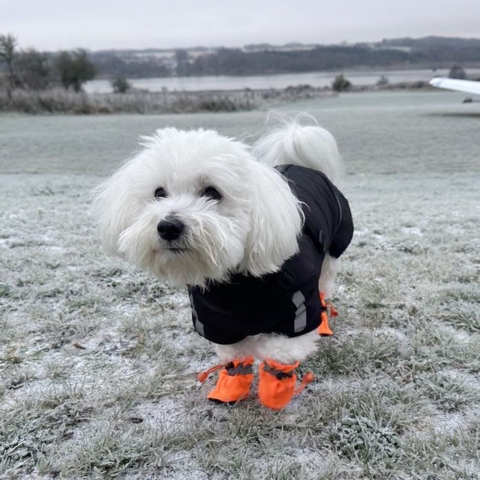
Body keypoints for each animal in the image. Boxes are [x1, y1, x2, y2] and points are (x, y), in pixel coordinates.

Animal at [94, 115, 354, 408]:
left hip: (331, 254)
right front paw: (231, 387)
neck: (236, 285)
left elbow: (278, 353)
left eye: (212, 192)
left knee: (324, 287)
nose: (168, 226)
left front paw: (274, 391)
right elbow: (236, 356)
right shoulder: (215, 321)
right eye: (159, 193)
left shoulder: (297, 313)